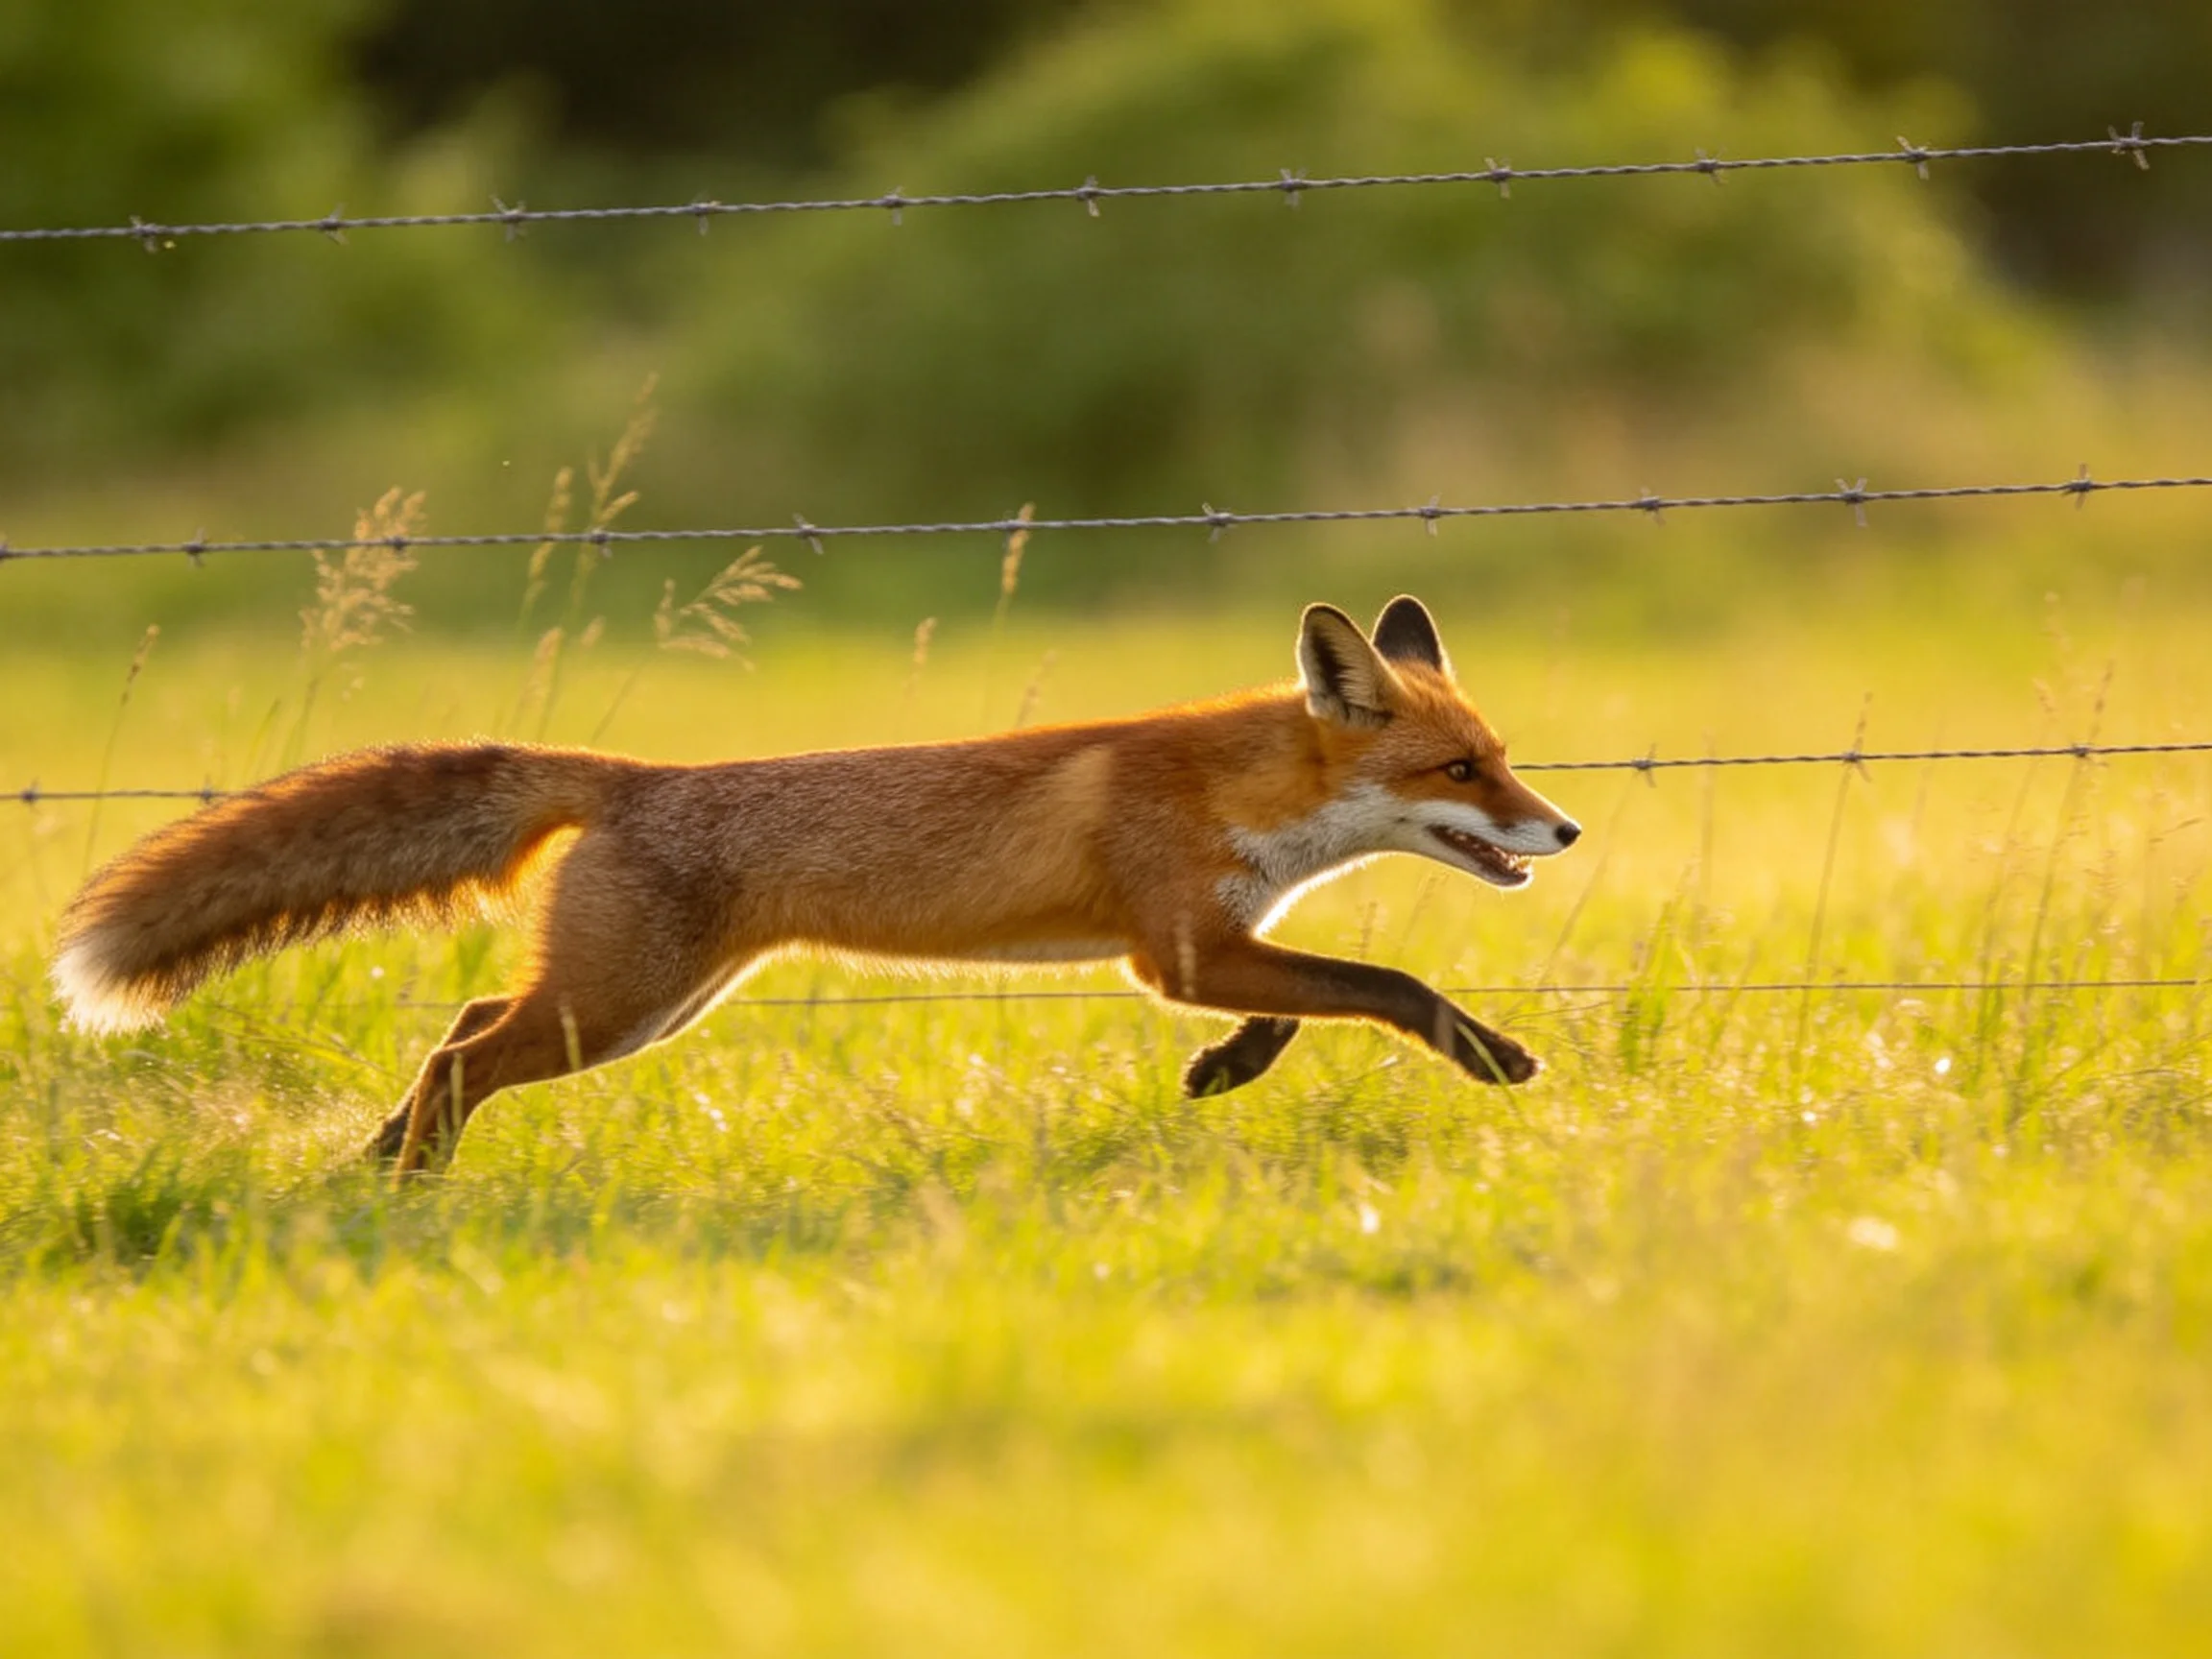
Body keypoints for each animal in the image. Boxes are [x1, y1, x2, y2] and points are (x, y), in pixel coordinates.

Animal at [53, 595, 1579, 1178]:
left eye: (1503, 756)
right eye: (1462, 767)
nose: (1560, 828)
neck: (1240, 795)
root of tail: (637, 776)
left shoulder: (1213, 945)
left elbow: (1301, 1007)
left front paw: (1225, 1072)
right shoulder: (1177, 949)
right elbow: (1387, 984)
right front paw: (1489, 1053)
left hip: (641, 1005)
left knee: (462, 1024)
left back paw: (383, 1158)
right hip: (614, 1012)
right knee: (461, 1052)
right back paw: (410, 1170)